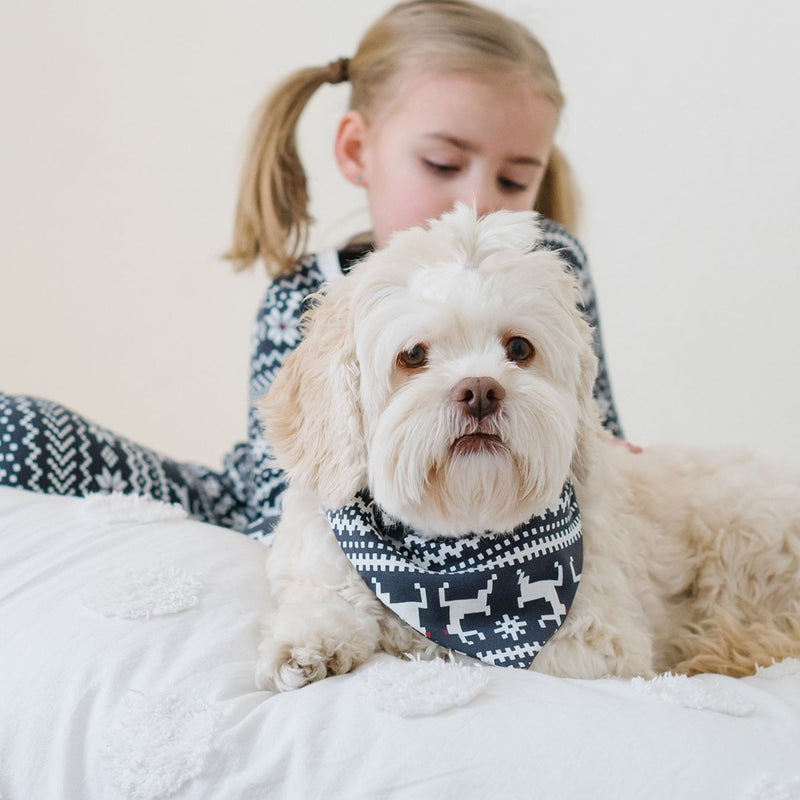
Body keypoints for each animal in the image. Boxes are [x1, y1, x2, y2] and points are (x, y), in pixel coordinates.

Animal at [255, 203, 800, 692]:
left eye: (519, 348)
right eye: (412, 355)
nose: (480, 390)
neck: (458, 550)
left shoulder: (601, 646)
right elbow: (328, 605)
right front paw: (307, 646)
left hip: (739, 531)